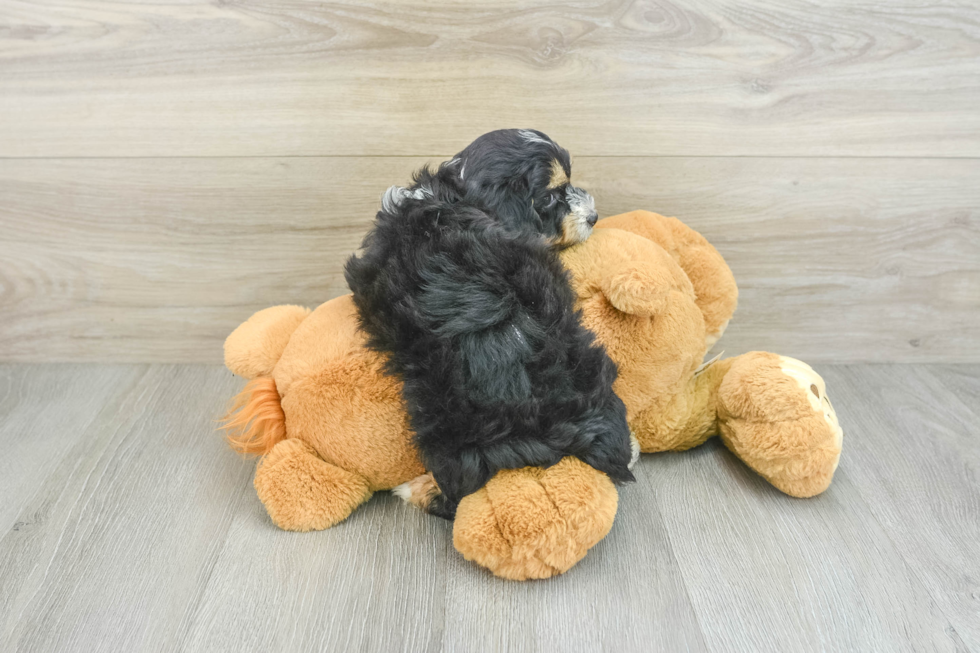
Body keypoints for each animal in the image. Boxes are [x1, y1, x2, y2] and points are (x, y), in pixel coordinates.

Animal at [344, 129, 636, 520]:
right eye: (549, 197)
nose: (594, 216)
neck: (458, 193)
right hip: (591, 365)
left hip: (447, 422)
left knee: (459, 488)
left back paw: (417, 489)